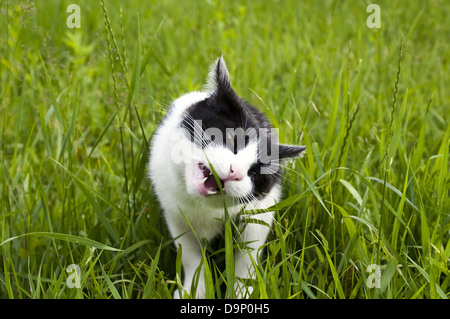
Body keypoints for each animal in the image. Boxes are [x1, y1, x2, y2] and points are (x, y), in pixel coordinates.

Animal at [149, 57, 304, 300]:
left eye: (255, 172)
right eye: (232, 139)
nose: (235, 171)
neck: (203, 208)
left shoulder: (260, 212)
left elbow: (247, 259)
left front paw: (243, 294)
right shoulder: (176, 215)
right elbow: (191, 256)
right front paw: (194, 291)